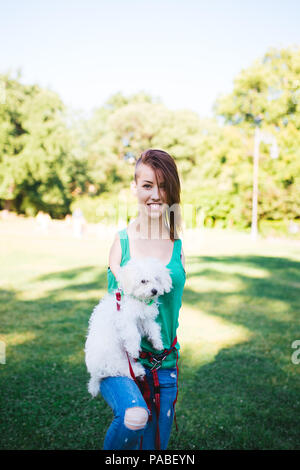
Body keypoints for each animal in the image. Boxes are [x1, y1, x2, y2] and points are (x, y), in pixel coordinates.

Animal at [84, 258, 173, 396]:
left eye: (157, 279)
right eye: (143, 281)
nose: (154, 290)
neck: (138, 300)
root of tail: (95, 375)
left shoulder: (144, 319)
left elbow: (153, 328)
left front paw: (158, 343)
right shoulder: (126, 319)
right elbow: (133, 335)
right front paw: (134, 350)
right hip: (112, 355)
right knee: (117, 369)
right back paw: (137, 371)